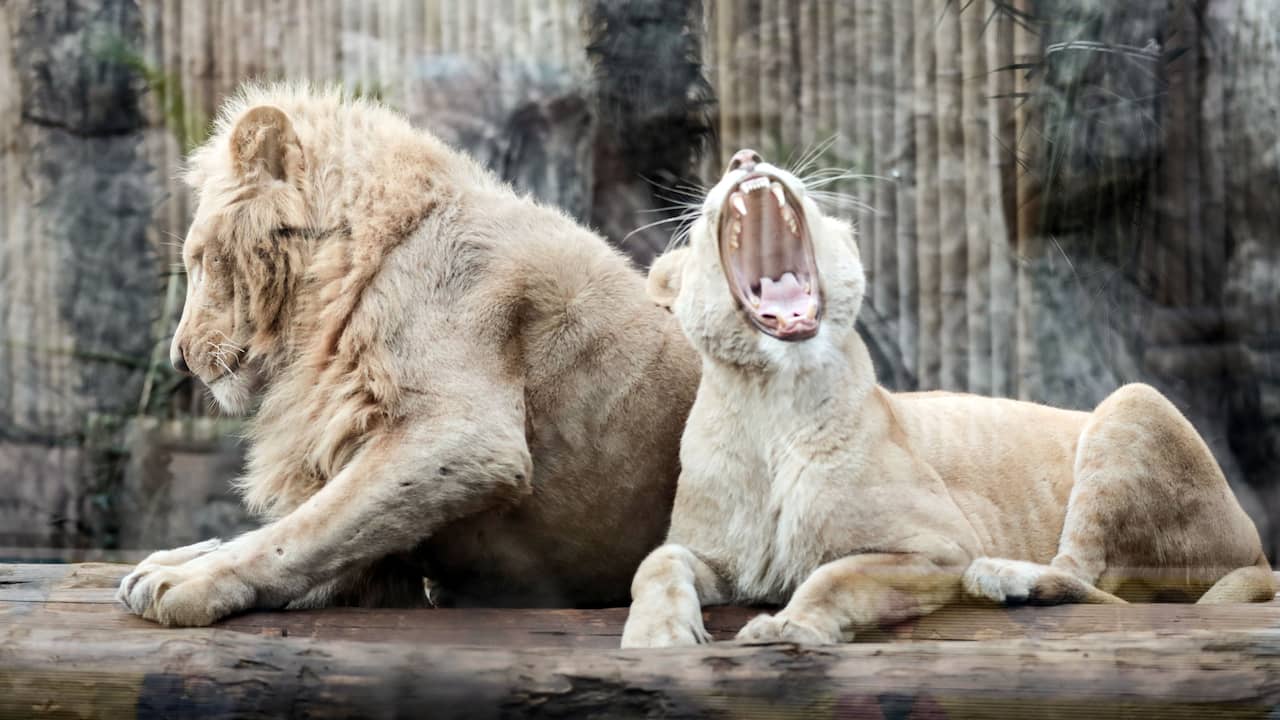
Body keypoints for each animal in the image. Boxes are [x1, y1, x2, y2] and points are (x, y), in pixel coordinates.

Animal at [117, 82, 701, 622]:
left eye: (199, 259)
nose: (177, 359)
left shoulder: (465, 434)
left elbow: (308, 529)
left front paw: (191, 582)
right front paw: (180, 562)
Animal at [619, 148, 1269, 648]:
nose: (745, 158)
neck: (773, 404)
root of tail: (1256, 546)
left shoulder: (939, 549)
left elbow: (836, 575)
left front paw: (788, 627)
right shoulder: (717, 554)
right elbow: (654, 562)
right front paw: (657, 637)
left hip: (1134, 403)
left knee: (1099, 584)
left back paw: (1009, 580)